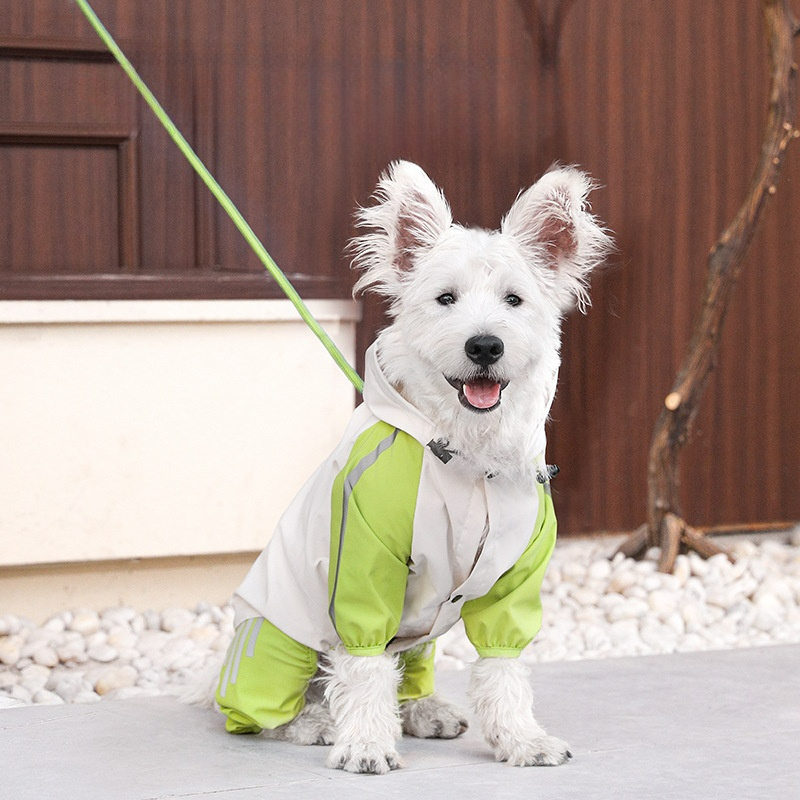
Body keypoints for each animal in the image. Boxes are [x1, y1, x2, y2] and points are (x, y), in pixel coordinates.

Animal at [209, 159, 608, 772]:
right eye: (446, 298)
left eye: (514, 300)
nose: (484, 346)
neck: (469, 455)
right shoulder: (364, 566)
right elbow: (365, 664)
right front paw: (365, 745)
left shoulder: (514, 577)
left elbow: (503, 666)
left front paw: (520, 739)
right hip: (277, 642)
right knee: (261, 713)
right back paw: (316, 723)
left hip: (420, 634)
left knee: (405, 671)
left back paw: (423, 710)